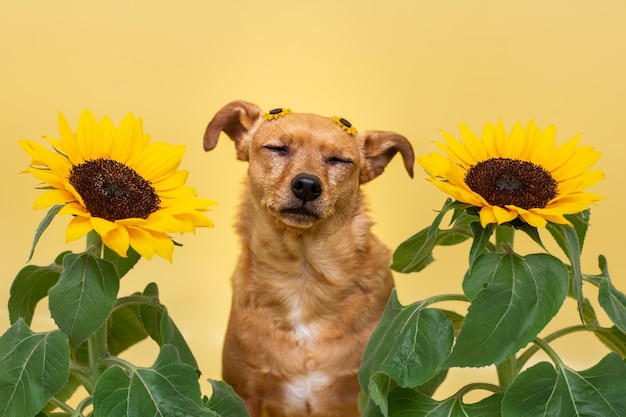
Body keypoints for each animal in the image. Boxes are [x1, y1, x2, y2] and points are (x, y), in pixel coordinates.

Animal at [202, 101, 412, 416]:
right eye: (277, 148)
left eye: (339, 160)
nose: (307, 185)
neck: (304, 276)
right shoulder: (245, 394)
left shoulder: (368, 397)